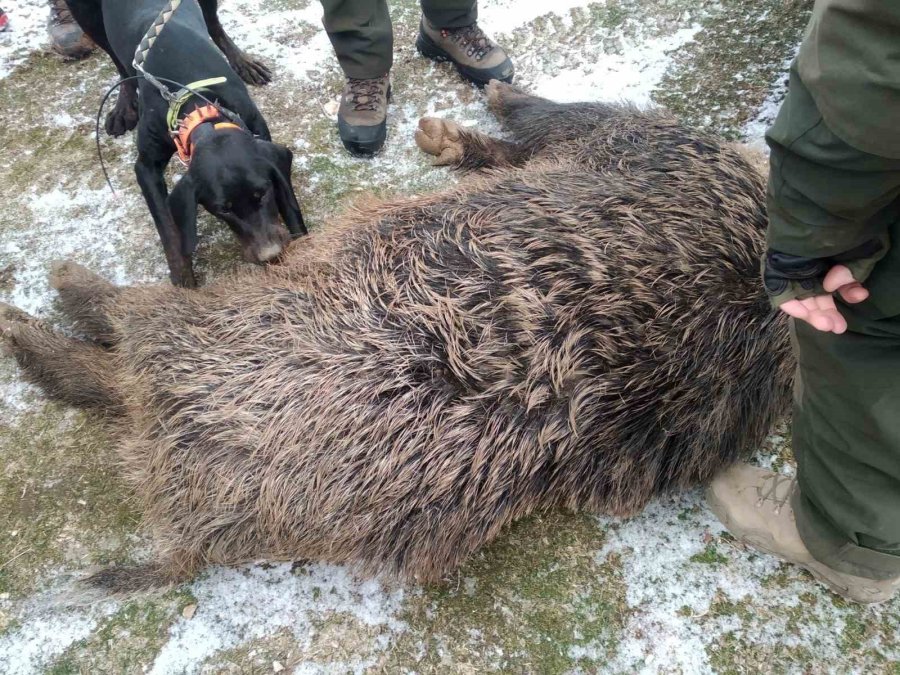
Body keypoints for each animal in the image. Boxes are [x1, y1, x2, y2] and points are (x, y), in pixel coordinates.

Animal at [67, 0, 306, 286]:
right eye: (223, 210)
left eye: (262, 193)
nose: (270, 254)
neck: (197, 110)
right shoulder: (146, 167)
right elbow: (168, 229)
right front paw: (183, 277)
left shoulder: (261, 135)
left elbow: (287, 198)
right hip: (85, 15)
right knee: (119, 64)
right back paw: (124, 105)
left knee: (214, 24)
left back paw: (243, 61)